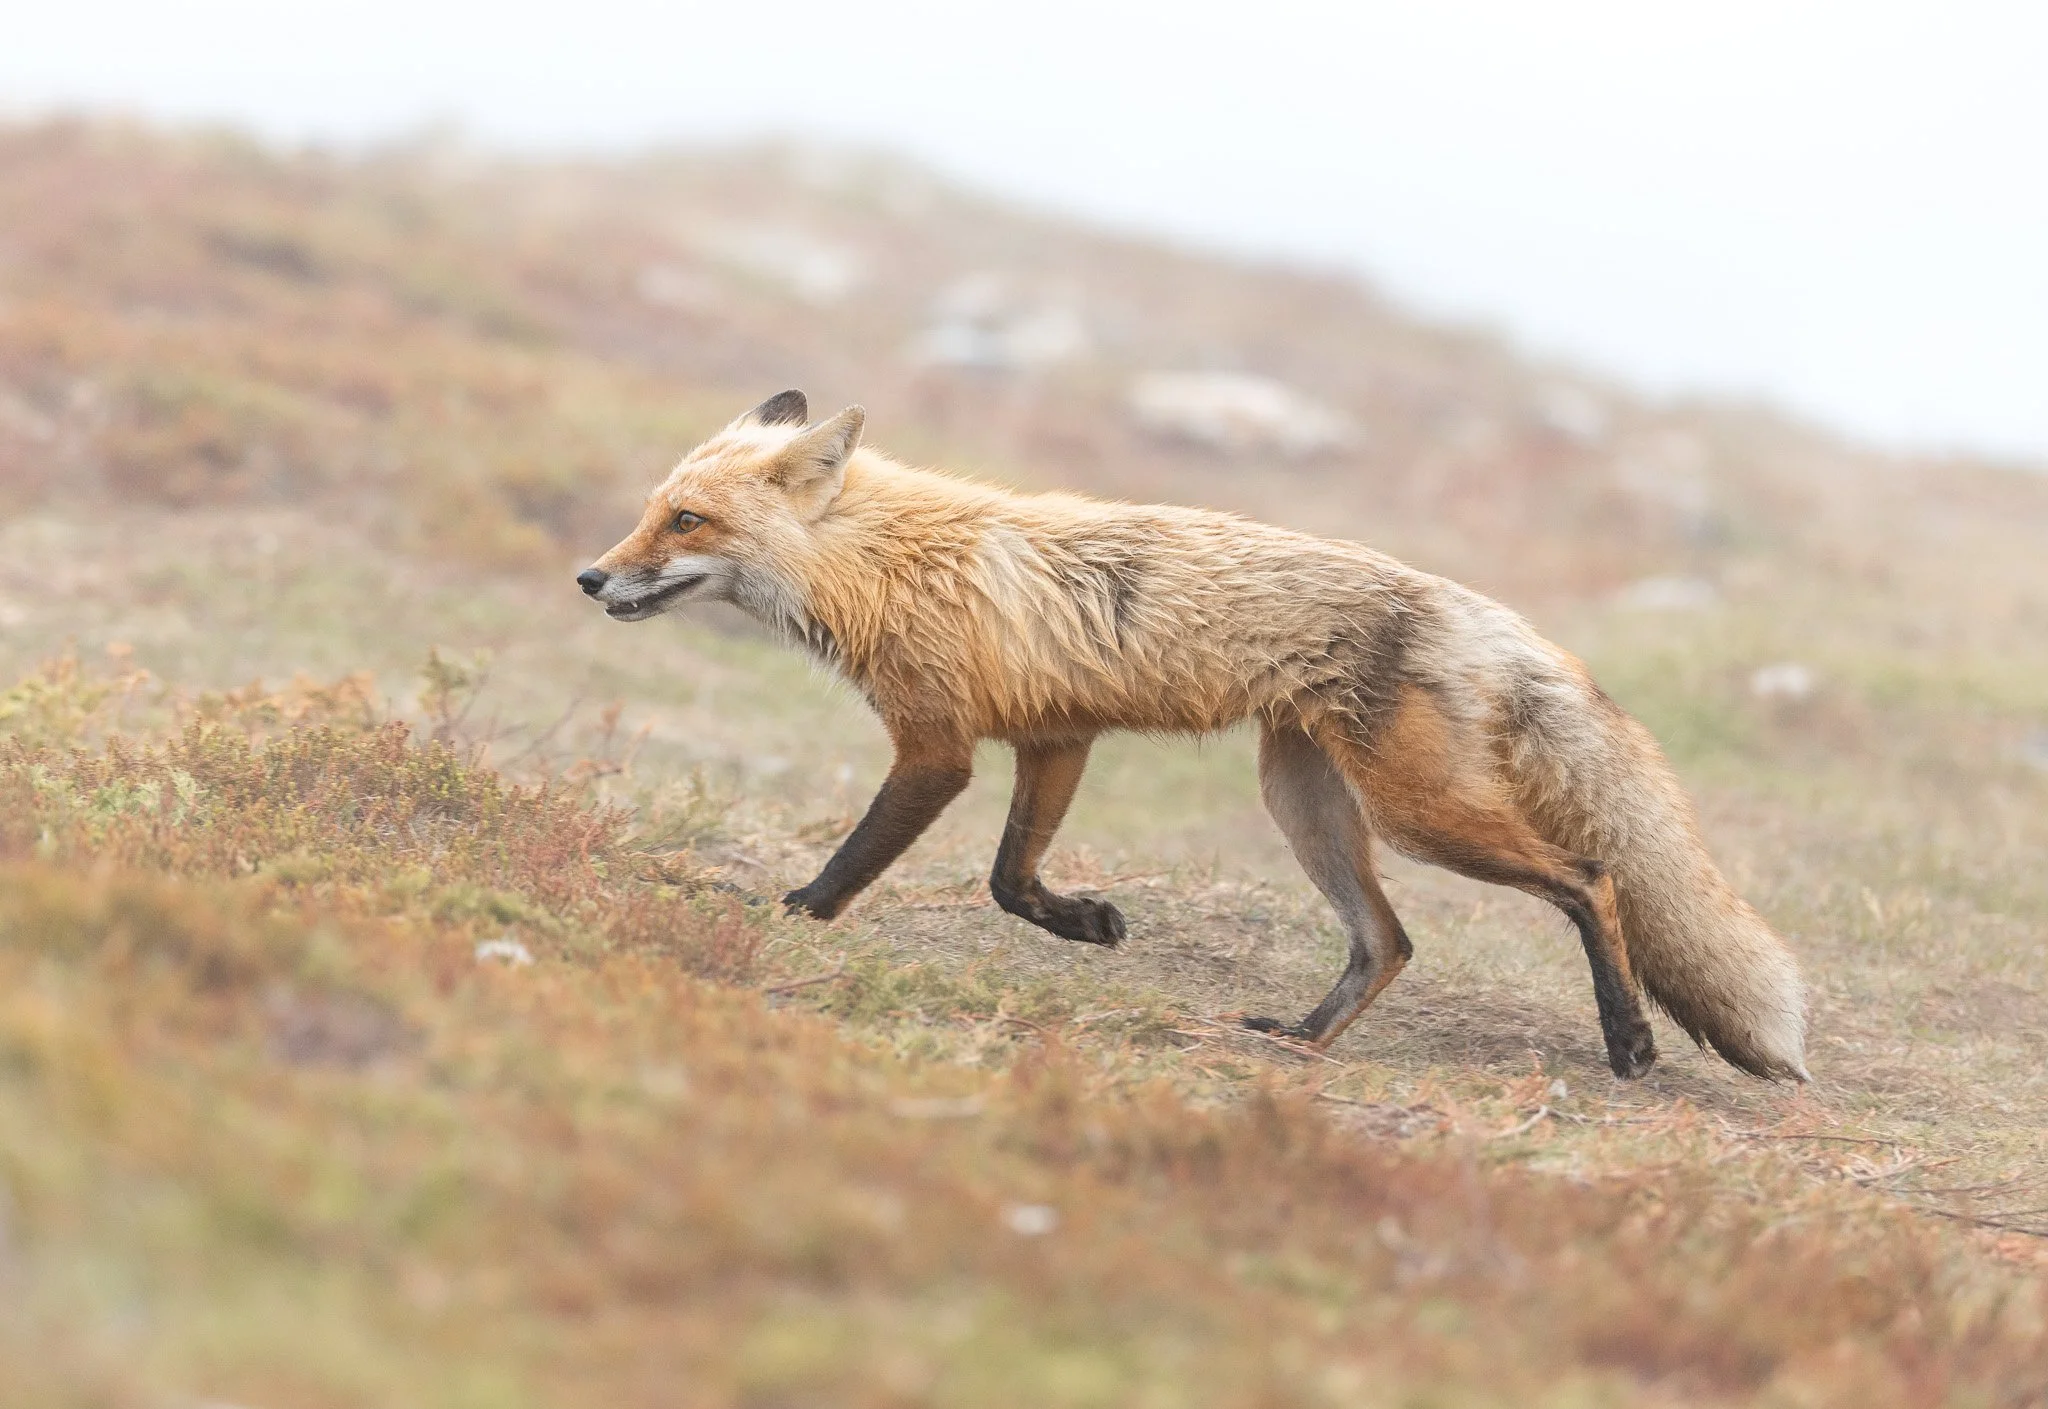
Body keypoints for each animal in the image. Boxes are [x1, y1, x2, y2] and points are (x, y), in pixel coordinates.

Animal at [578, 390, 1810, 1081]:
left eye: (685, 520)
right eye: (647, 511)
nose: (590, 577)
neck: (887, 564)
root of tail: (1487, 615)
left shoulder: (938, 747)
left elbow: (854, 864)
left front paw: (783, 916)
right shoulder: (1056, 737)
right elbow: (1009, 881)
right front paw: (1084, 921)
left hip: (1418, 814)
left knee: (1591, 877)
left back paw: (1629, 1041)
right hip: (1304, 803)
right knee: (1388, 941)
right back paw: (1300, 1041)